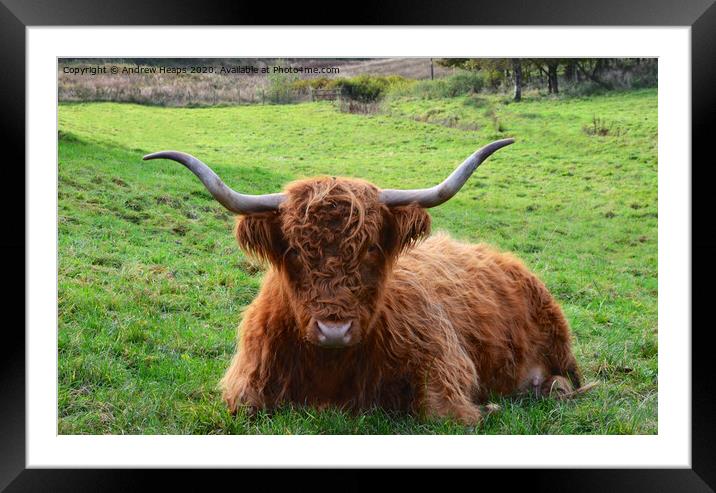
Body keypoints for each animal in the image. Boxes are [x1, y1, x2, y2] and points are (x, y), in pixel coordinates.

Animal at [145, 138, 580, 422]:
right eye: (296, 251)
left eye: (370, 248)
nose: (333, 330)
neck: (331, 372)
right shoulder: (247, 380)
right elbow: (245, 405)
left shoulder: (445, 363)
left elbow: (445, 414)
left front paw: (488, 407)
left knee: (566, 377)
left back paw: (549, 388)